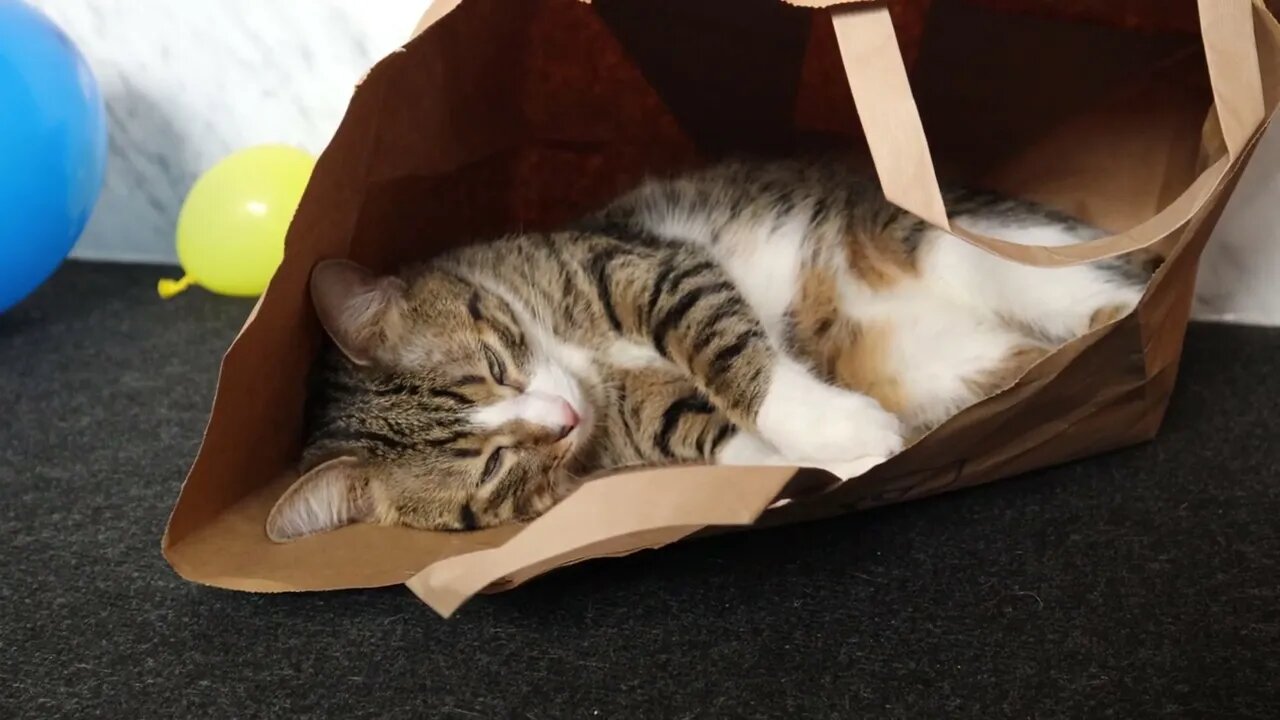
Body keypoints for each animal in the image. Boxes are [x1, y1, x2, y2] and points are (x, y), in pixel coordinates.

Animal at [262, 156, 1152, 538]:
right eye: (491, 467)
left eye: (495, 366)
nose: (558, 420)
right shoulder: (636, 426)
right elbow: (703, 432)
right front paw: (833, 459)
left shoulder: (642, 262)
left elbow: (719, 341)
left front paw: (838, 427)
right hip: (958, 362)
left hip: (953, 244)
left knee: (1064, 280)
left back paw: (1127, 308)